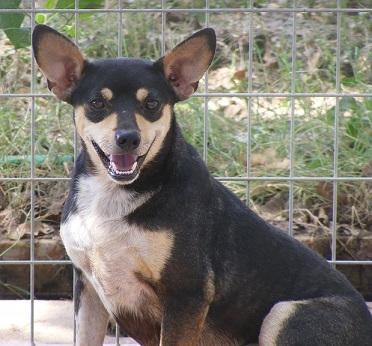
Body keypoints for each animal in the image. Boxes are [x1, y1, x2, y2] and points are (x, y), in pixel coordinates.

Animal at [32, 25, 372, 346]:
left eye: (152, 103)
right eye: (96, 103)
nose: (128, 138)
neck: (115, 193)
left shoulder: (185, 293)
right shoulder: (88, 288)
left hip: (283, 314)